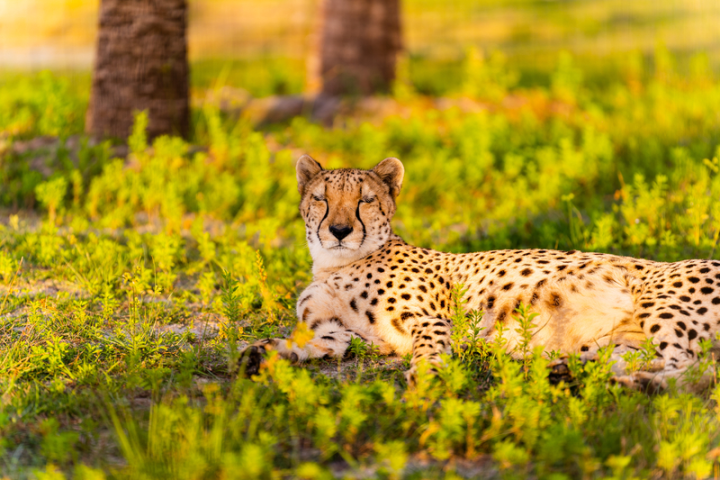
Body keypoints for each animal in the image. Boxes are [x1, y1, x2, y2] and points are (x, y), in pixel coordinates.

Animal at [240, 155, 720, 391]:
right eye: (321, 199)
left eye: (365, 201)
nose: (339, 231)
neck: (337, 262)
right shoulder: (340, 334)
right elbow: (304, 344)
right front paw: (260, 354)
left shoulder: (431, 321)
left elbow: (429, 351)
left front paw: (426, 378)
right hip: (620, 341)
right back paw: (571, 373)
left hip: (659, 303)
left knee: (698, 369)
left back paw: (639, 384)